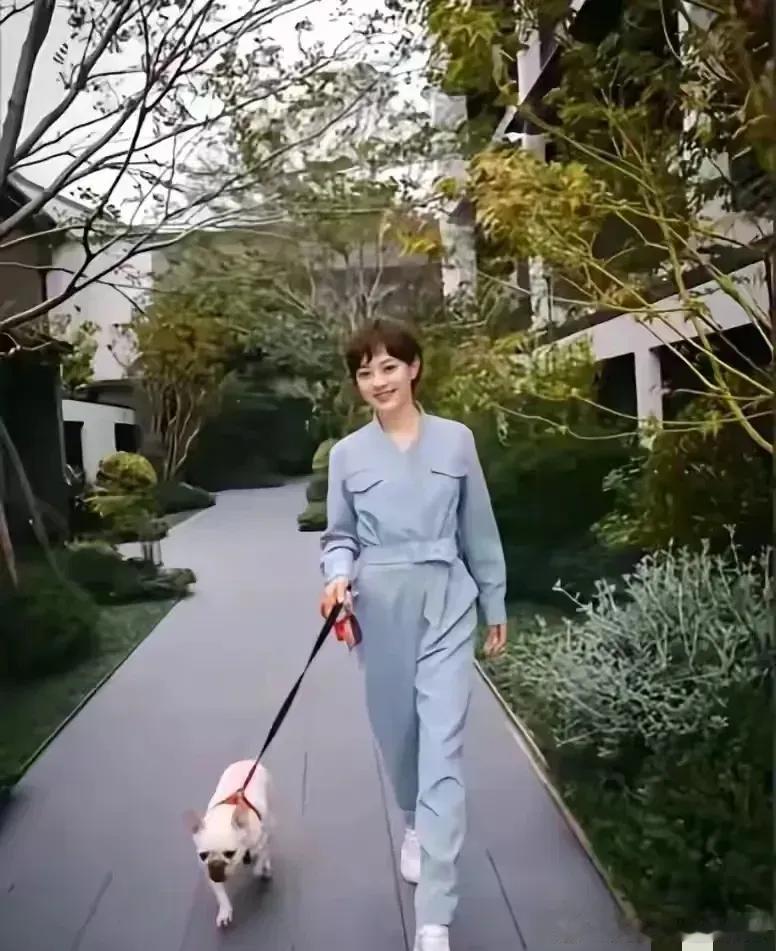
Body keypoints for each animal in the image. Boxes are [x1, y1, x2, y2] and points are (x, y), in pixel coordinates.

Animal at [187, 760, 272, 928]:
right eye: (203, 855)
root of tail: (248, 760)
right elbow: (221, 894)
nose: (216, 866)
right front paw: (225, 911)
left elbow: (261, 859)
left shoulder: (262, 840)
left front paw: (261, 867)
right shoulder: (208, 871)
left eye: (230, 853)